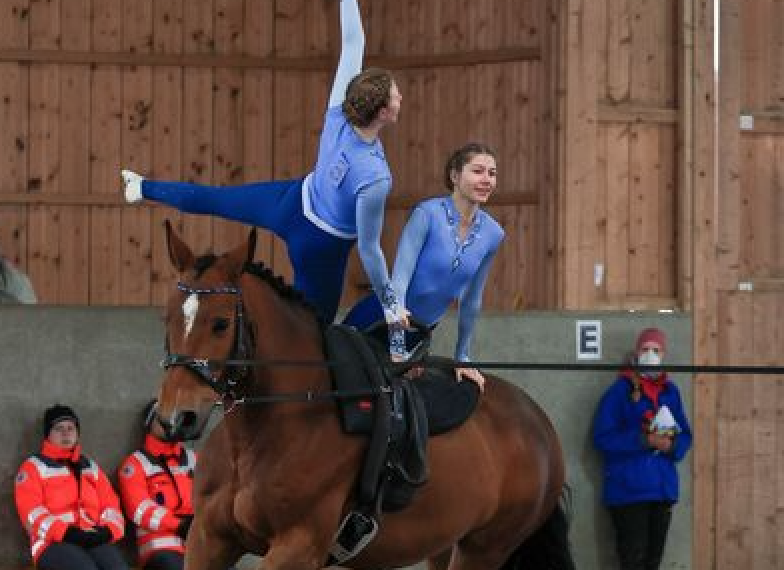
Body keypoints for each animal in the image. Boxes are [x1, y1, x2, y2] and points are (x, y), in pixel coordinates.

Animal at [155, 222, 576, 568]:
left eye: (221, 323)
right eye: (167, 318)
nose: (176, 419)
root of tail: (538, 424)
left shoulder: (298, 547)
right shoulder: (208, 540)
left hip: (484, 550)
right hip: (445, 544)